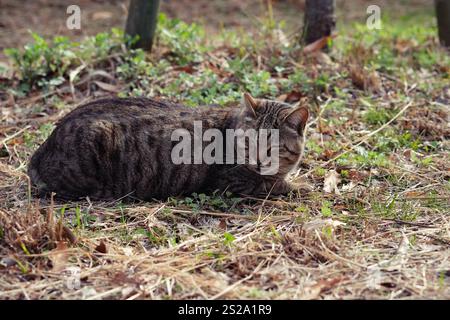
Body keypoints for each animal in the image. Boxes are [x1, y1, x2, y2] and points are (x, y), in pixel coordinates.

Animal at [29, 92, 310, 201]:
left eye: (273, 148)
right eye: (249, 142)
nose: (258, 162)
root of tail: (42, 149)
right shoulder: (230, 182)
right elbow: (272, 184)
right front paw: (300, 185)